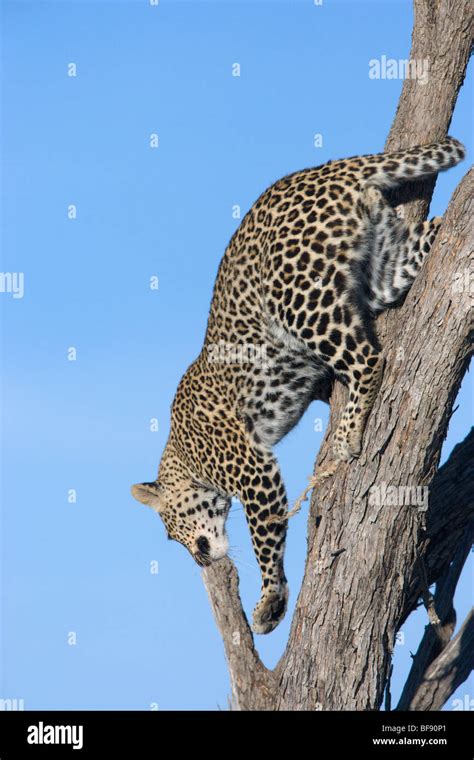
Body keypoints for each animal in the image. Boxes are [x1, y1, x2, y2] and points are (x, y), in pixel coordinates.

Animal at [131, 137, 464, 636]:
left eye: (172, 530)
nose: (201, 560)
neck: (184, 455)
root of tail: (326, 169)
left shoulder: (254, 469)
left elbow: (263, 536)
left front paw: (270, 601)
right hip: (382, 265)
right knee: (427, 240)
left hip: (301, 299)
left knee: (369, 359)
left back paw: (348, 436)